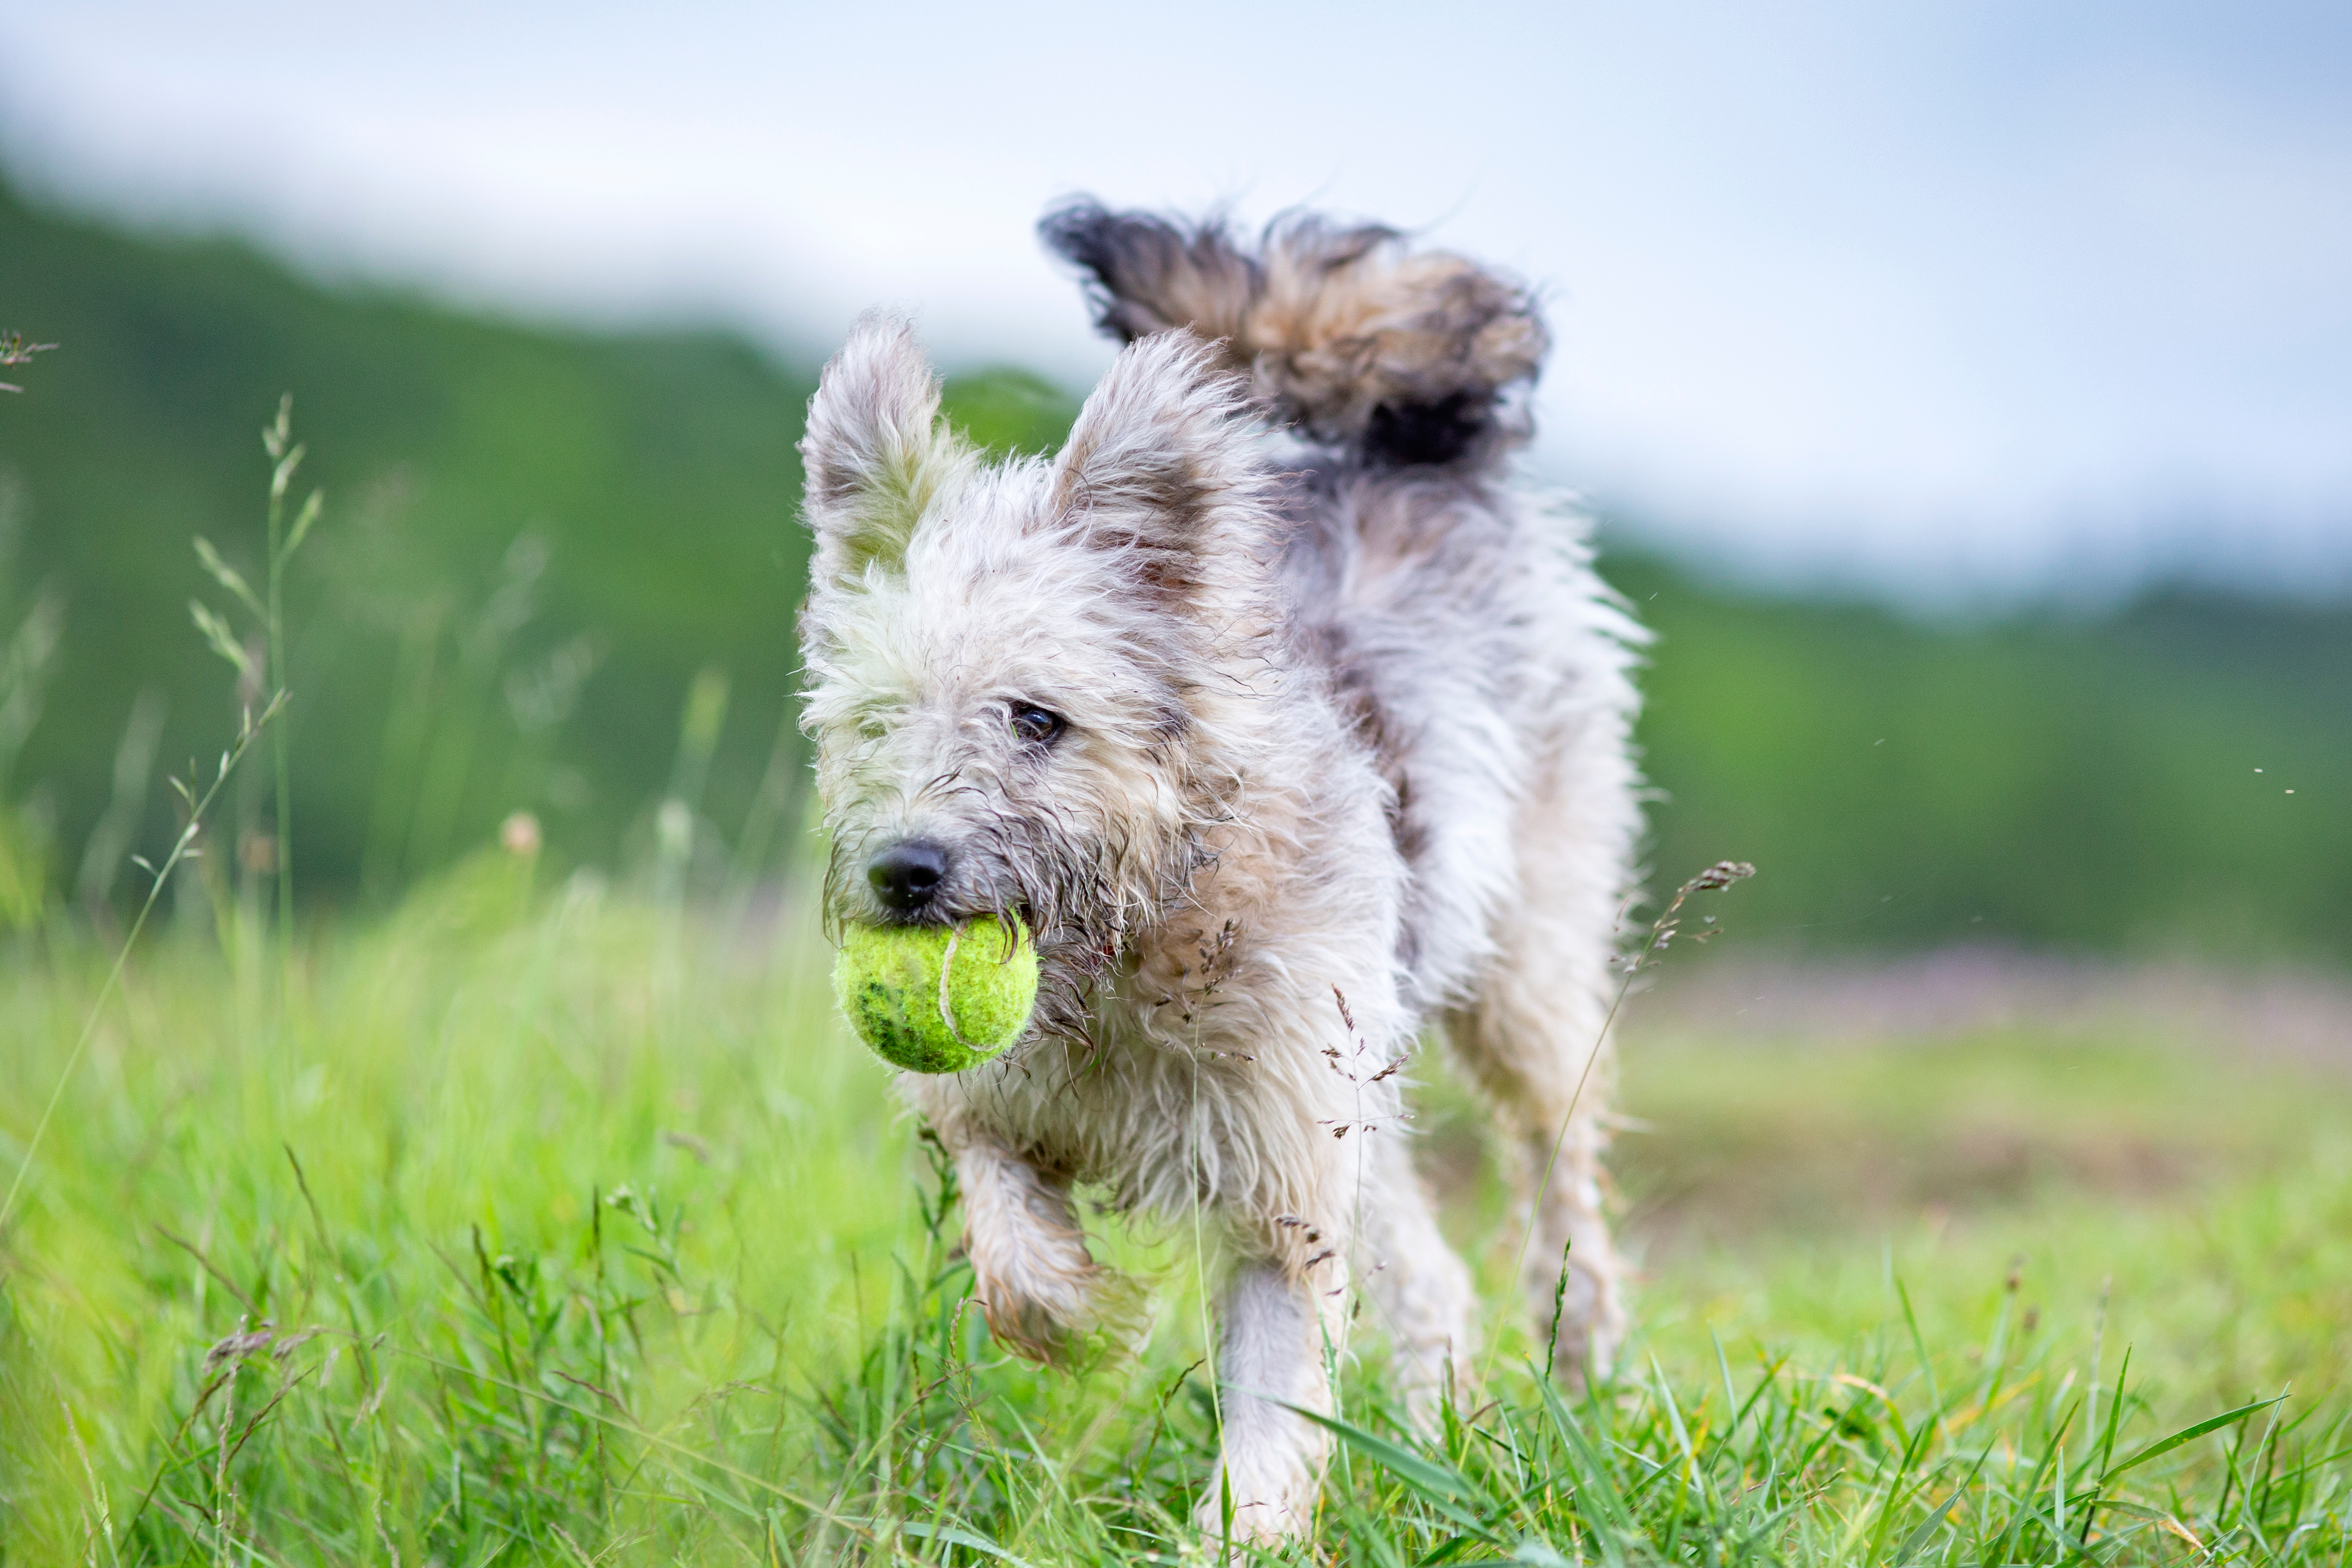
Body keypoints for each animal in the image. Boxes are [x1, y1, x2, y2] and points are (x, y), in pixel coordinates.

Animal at [799, 200, 1646, 1542]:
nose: (904, 872)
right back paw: (1433, 1445)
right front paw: (1086, 1319)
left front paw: (1243, 1539)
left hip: (1525, 991)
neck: (1133, 944)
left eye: (1036, 719)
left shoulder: (1281, 1193)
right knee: (1434, 1277)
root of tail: (1395, 454)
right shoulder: (996, 1107)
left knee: (1561, 1177)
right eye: (878, 724)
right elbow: (1008, 1239)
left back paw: (1586, 1375)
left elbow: (1271, 1414)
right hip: (1367, 1083)